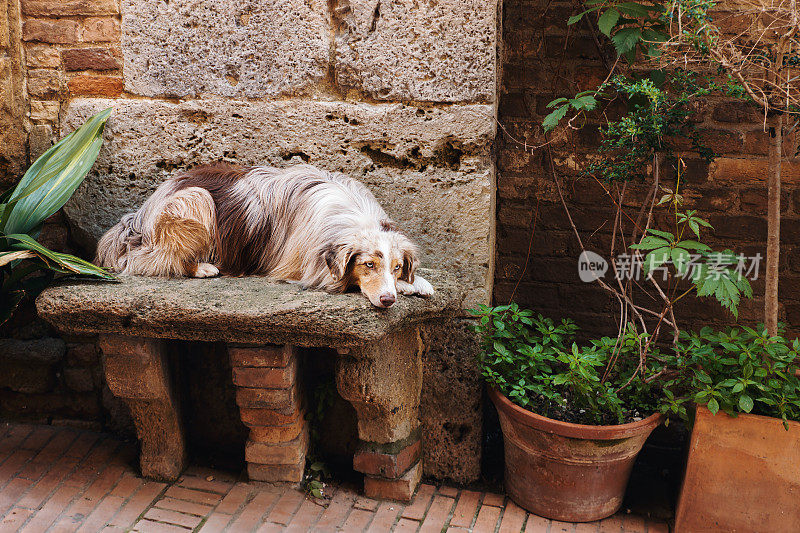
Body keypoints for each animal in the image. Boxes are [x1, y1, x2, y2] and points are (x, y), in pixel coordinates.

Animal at [96, 161, 434, 308]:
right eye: (368, 265)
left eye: (397, 267)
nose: (388, 300)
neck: (353, 217)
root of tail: (140, 215)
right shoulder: (305, 267)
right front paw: (408, 287)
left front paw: (416, 283)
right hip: (195, 199)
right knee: (153, 260)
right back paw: (203, 267)